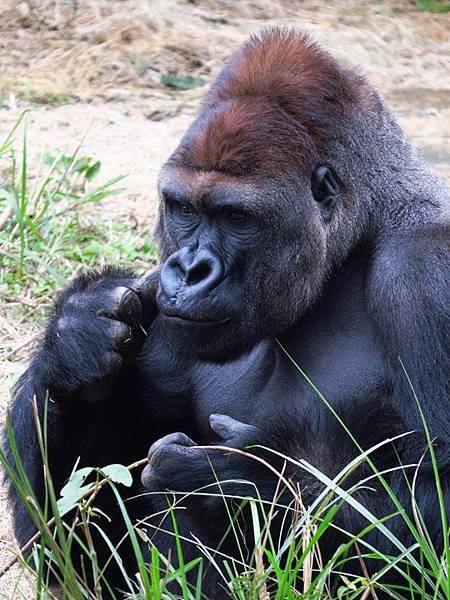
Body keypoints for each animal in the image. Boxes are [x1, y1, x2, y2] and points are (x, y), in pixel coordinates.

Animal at [3, 29, 450, 600]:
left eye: (235, 216)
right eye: (184, 208)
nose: (189, 269)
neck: (357, 240)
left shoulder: (427, 273)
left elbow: (431, 523)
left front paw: (236, 482)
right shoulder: (159, 307)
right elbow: (82, 553)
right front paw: (76, 336)